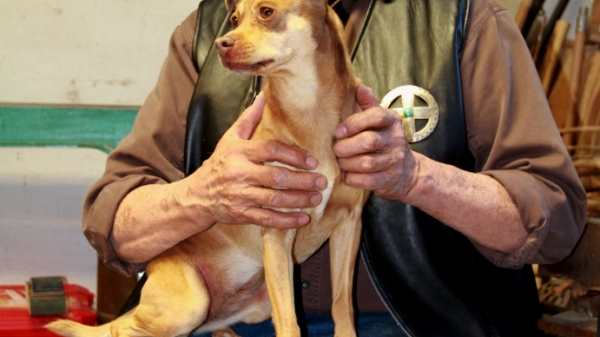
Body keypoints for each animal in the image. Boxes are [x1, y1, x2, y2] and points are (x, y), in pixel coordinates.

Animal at [47, 0, 364, 334]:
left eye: (266, 12)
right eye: (234, 19)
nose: (221, 44)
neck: (308, 105)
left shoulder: (349, 226)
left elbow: (342, 305)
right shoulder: (277, 233)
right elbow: (291, 323)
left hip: (257, 303)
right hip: (191, 305)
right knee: (123, 328)